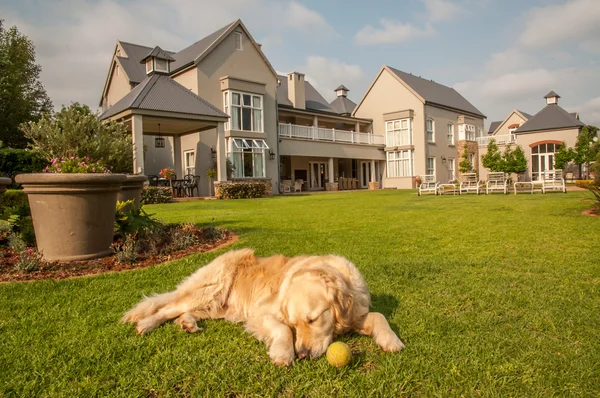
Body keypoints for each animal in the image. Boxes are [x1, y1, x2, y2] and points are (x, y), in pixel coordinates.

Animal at [121, 250, 404, 366]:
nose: (303, 354)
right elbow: (281, 330)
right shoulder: (262, 314)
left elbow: (378, 316)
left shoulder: (355, 312)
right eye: (295, 323)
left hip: (216, 305)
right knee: (168, 308)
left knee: (185, 312)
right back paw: (146, 324)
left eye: (313, 319)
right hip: (210, 288)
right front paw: (283, 353)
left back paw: (188, 323)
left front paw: (391, 340)